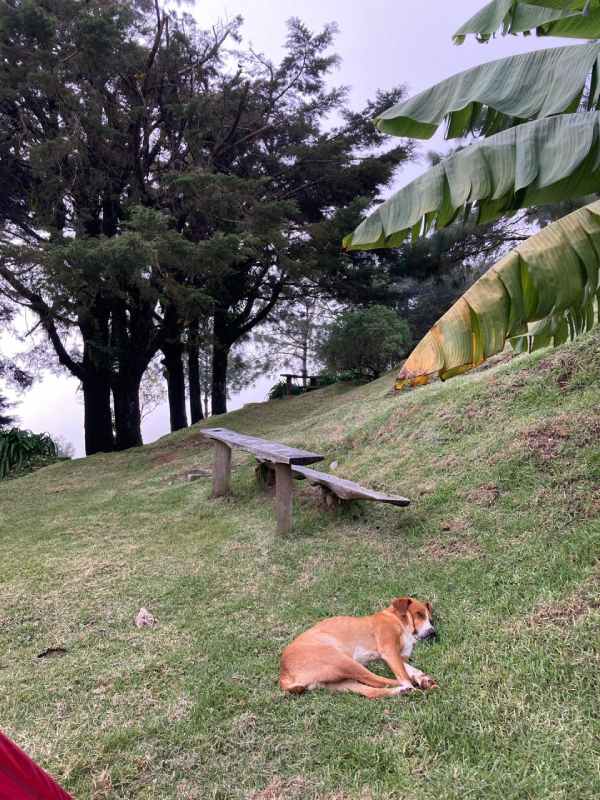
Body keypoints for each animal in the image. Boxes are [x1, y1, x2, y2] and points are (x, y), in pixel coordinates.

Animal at [278, 592, 438, 700]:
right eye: (419, 614)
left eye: (430, 619)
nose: (433, 632)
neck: (396, 619)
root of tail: (284, 672)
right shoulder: (389, 650)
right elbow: (403, 674)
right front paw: (418, 679)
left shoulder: (395, 655)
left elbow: (409, 668)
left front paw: (421, 676)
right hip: (342, 660)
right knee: (378, 680)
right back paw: (412, 687)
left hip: (340, 682)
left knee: (372, 691)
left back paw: (406, 690)